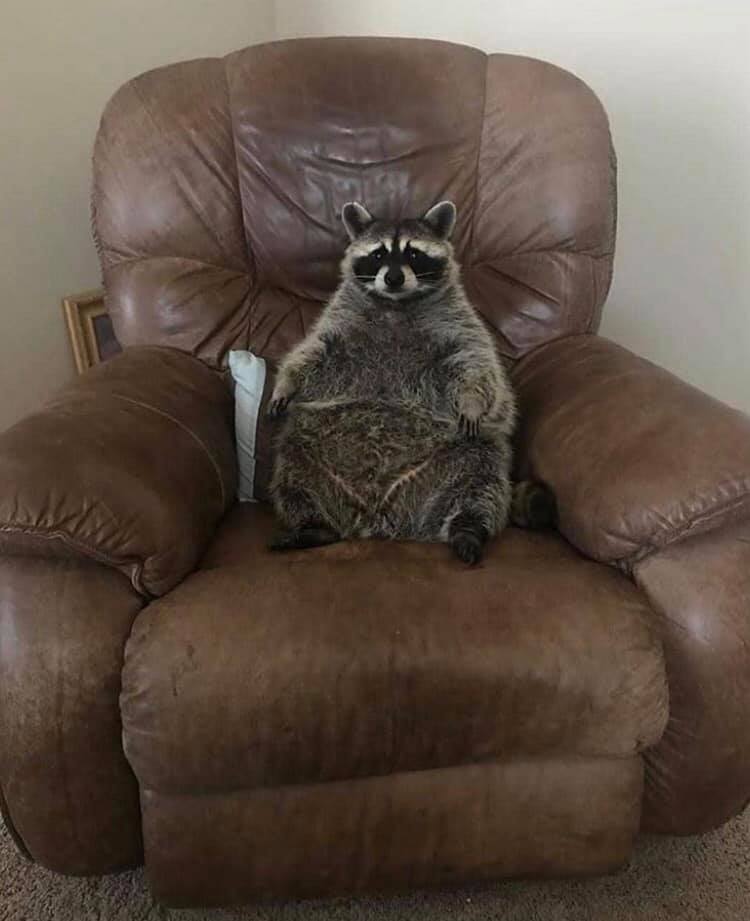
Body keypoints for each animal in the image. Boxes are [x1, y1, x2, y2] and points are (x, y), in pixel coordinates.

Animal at [268, 200, 555, 564]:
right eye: (378, 254)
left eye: (414, 254)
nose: (393, 277)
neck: (396, 304)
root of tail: (376, 519)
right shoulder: (339, 323)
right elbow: (310, 353)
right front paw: (286, 384)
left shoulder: (460, 323)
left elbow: (476, 363)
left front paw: (472, 400)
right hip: (314, 454)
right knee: (292, 466)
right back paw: (312, 524)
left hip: (460, 458)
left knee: (483, 475)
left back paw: (469, 527)